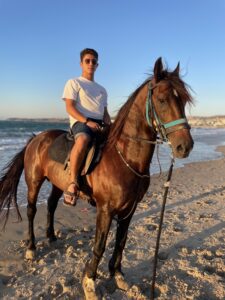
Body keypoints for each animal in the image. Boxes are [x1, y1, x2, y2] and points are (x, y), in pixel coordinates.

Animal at [0, 56, 193, 298]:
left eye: (183, 101)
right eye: (162, 100)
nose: (185, 146)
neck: (124, 156)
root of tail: (36, 138)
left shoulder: (130, 209)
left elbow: (121, 242)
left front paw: (117, 275)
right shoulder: (106, 209)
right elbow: (100, 245)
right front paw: (90, 282)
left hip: (57, 184)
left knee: (51, 205)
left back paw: (52, 236)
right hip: (34, 181)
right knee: (32, 211)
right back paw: (31, 248)